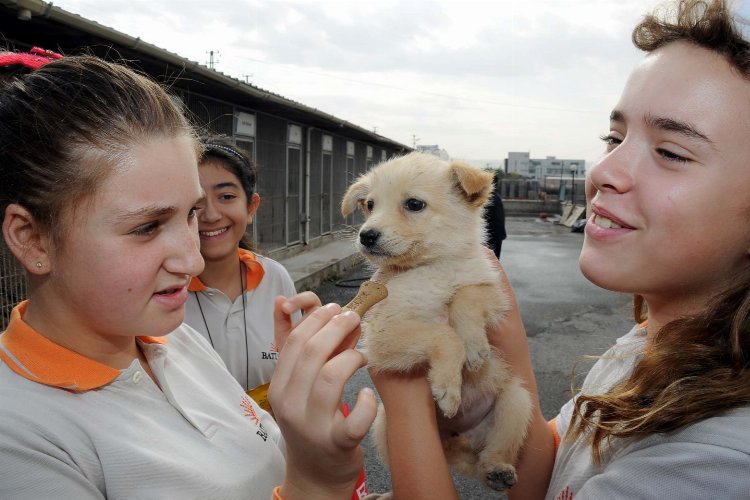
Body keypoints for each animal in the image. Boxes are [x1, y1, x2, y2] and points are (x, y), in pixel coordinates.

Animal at [342, 152, 536, 492]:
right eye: (369, 205)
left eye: (414, 204)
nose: (366, 235)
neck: (432, 268)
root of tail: (458, 444)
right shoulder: (383, 336)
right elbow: (444, 336)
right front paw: (449, 386)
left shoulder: (495, 294)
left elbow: (466, 296)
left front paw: (474, 346)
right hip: (384, 422)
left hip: (517, 401)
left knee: (492, 455)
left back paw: (498, 469)